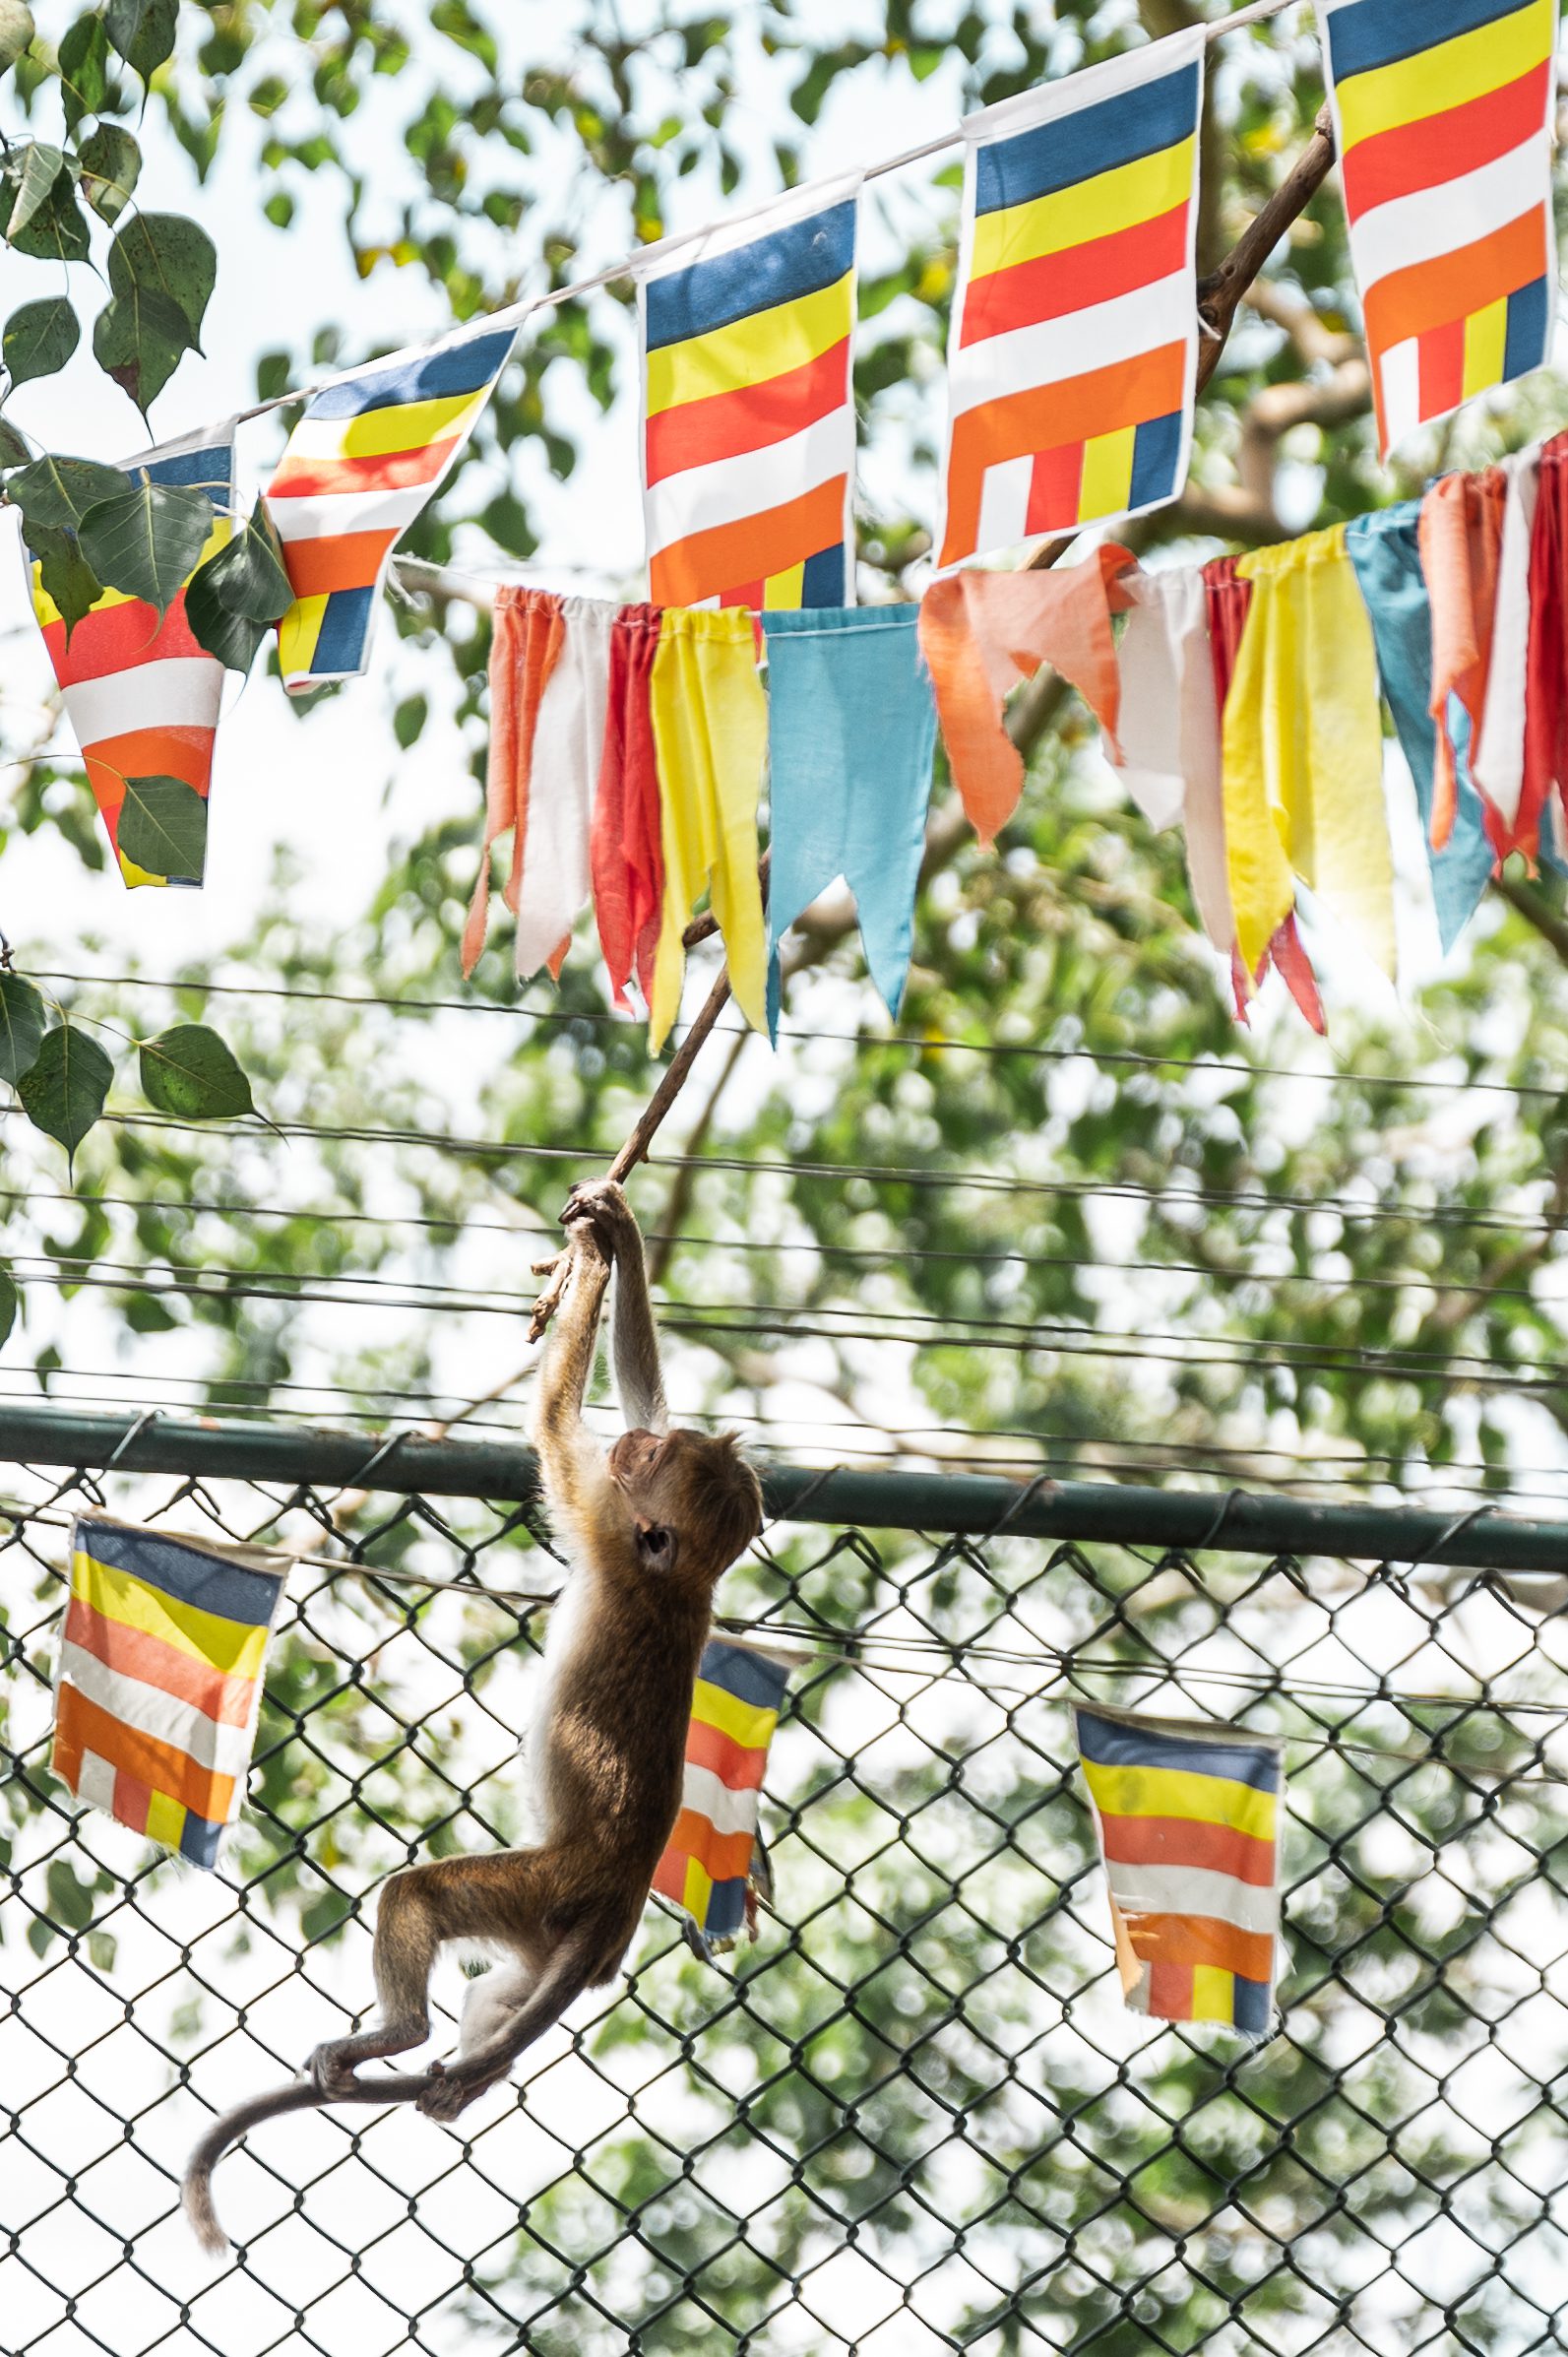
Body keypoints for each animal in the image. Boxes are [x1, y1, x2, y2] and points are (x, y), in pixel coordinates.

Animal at [180, 1187, 759, 2253]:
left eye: (654, 1461)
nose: (640, 1450)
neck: (678, 1580)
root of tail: (616, 1897)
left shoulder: (598, 1508)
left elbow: (554, 1419)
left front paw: (590, 1263)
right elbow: (633, 1385)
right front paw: (615, 1237)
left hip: (537, 1890)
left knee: (422, 1896)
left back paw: (399, 2036)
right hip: (551, 1942)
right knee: (497, 1992)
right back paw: (472, 2077)